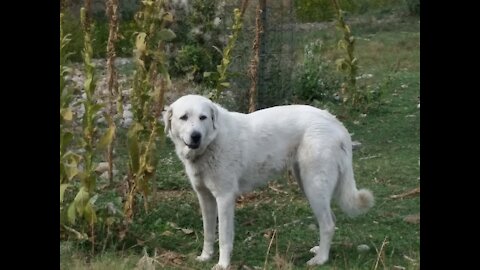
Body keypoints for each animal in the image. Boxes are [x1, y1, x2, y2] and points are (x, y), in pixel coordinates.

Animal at [163, 94, 374, 268]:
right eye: (184, 117)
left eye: (203, 117)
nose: (196, 136)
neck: (211, 143)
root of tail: (334, 121)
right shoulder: (205, 197)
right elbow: (208, 232)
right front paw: (205, 257)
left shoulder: (224, 198)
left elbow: (224, 237)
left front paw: (223, 264)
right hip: (308, 185)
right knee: (330, 220)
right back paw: (319, 250)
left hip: (314, 186)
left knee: (328, 224)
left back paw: (320, 259)